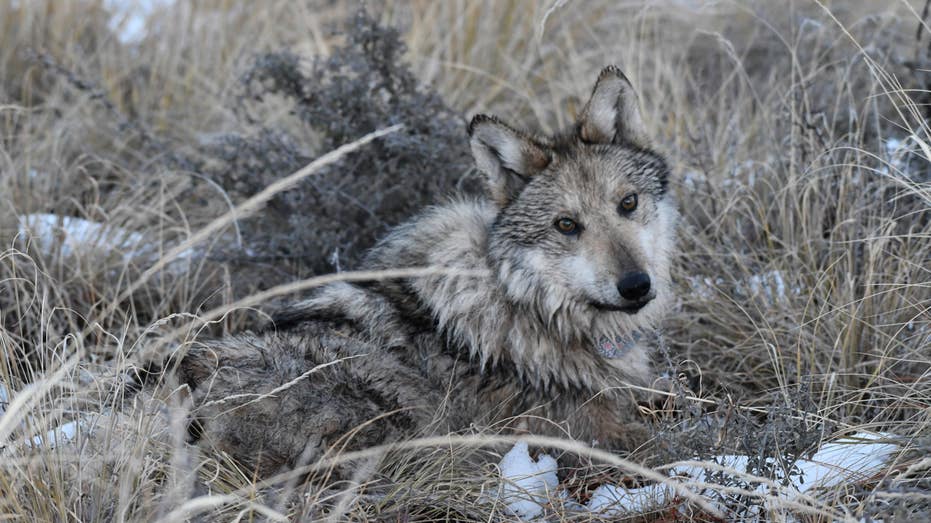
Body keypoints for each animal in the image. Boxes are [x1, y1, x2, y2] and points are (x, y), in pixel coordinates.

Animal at [174, 66, 678, 476]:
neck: (529, 306)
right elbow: (663, 440)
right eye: (567, 225)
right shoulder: (592, 434)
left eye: (627, 203)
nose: (636, 285)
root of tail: (194, 375)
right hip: (396, 414)